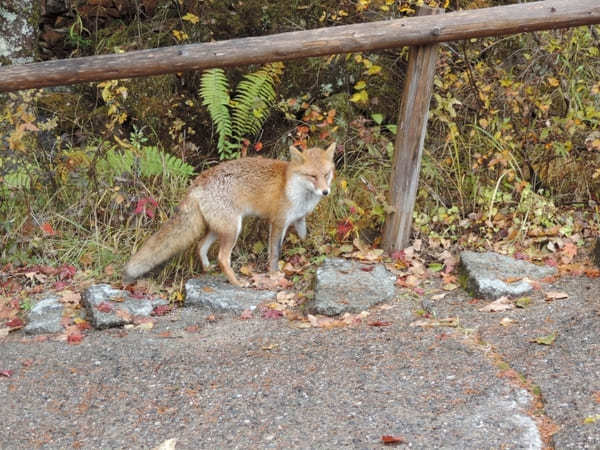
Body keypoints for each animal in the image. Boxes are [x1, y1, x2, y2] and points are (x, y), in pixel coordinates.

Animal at [122, 142, 336, 286]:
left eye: (326, 174)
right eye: (312, 176)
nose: (326, 192)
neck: (294, 188)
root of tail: (198, 181)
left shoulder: (299, 219)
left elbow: (304, 238)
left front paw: (309, 252)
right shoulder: (278, 222)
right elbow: (274, 253)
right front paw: (274, 275)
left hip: (218, 229)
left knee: (200, 246)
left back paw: (208, 269)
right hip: (233, 229)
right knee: (222, 258)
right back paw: (236, 282)